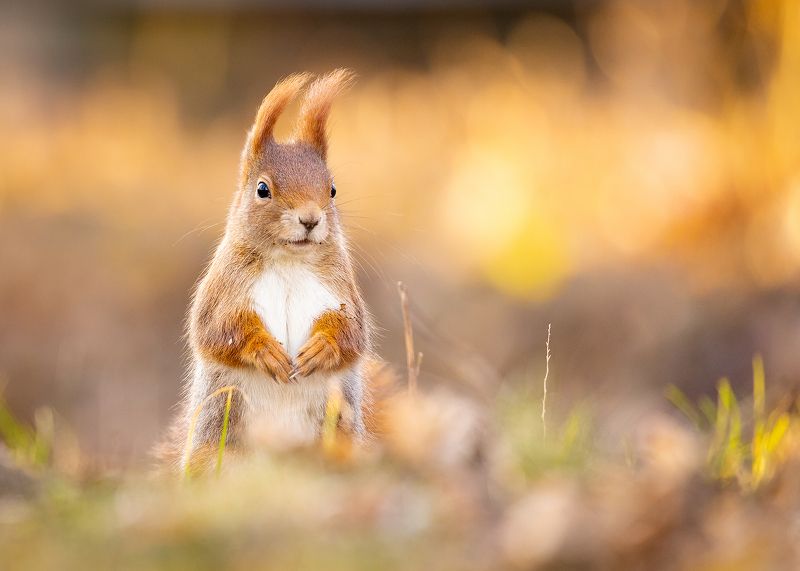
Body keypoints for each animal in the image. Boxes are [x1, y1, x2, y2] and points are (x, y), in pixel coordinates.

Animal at [159, 70, 391, 473]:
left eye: (332, 189)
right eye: (262, 189)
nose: (310, 219)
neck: (288, 262)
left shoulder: (341, 291)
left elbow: (352, 334)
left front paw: (322, 348)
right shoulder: (223, 290)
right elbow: (217, 329)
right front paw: (263, 350)